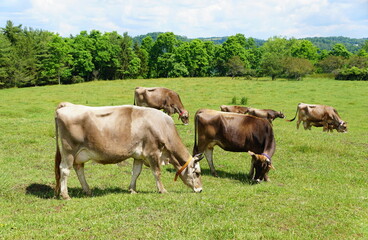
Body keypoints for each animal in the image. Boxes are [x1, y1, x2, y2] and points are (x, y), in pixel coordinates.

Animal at [54, 102, 203, 200]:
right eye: (197, 173)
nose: (200, 189)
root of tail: (66, 105)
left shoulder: (139, 155)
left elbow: (136, 172)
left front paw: (132, 189)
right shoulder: (152, 153)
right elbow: (157, 172)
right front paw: (162, 190)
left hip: (79, 154)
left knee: (79, 169)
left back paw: (87, 190)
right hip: (69, 151)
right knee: (65, 170)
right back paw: (65, 195)